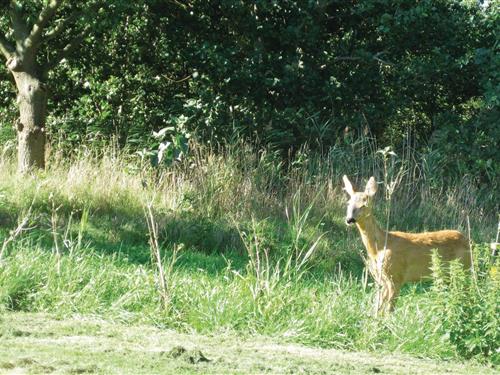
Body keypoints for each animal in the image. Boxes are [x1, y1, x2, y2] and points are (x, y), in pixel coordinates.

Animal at [342, 176, 470, 314]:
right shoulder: (381, 279)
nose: (349, 219)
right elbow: (379, 306)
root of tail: (468, 241)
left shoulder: (396, 276)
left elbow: (389, 310)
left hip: (463, 267)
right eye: (348, 203)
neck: (379, 248)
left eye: (364, 204)